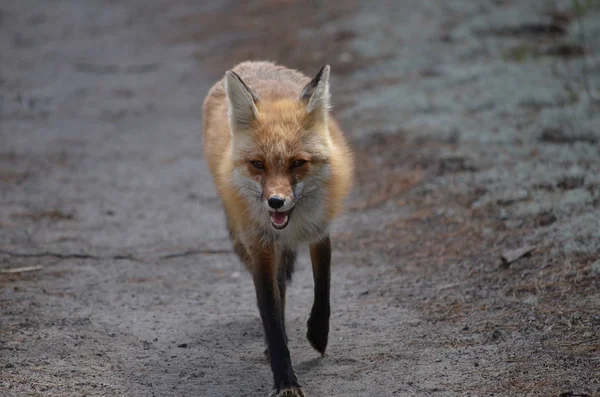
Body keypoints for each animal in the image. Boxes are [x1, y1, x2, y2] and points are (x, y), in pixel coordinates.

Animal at [203, 60, 352, 394]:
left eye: (298, 163)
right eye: (258, 164)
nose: (275, 202)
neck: (290, 226)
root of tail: (250, 63)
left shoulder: (319, 232)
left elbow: (323, 289)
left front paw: (318, 334)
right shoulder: (260, 248)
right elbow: (271, 315)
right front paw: (285, 380)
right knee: (280, 289)